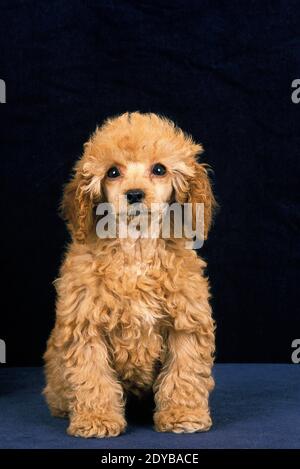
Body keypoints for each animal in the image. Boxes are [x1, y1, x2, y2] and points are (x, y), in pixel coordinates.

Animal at [44, 111, 216, 436]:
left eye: (159, 169)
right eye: (113, 172)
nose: (134, 194)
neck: (136, 247)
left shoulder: (185, 321)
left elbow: (184, 372)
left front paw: (182, 414)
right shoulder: (86, 325)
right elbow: (93, 376)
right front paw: (97, 419)